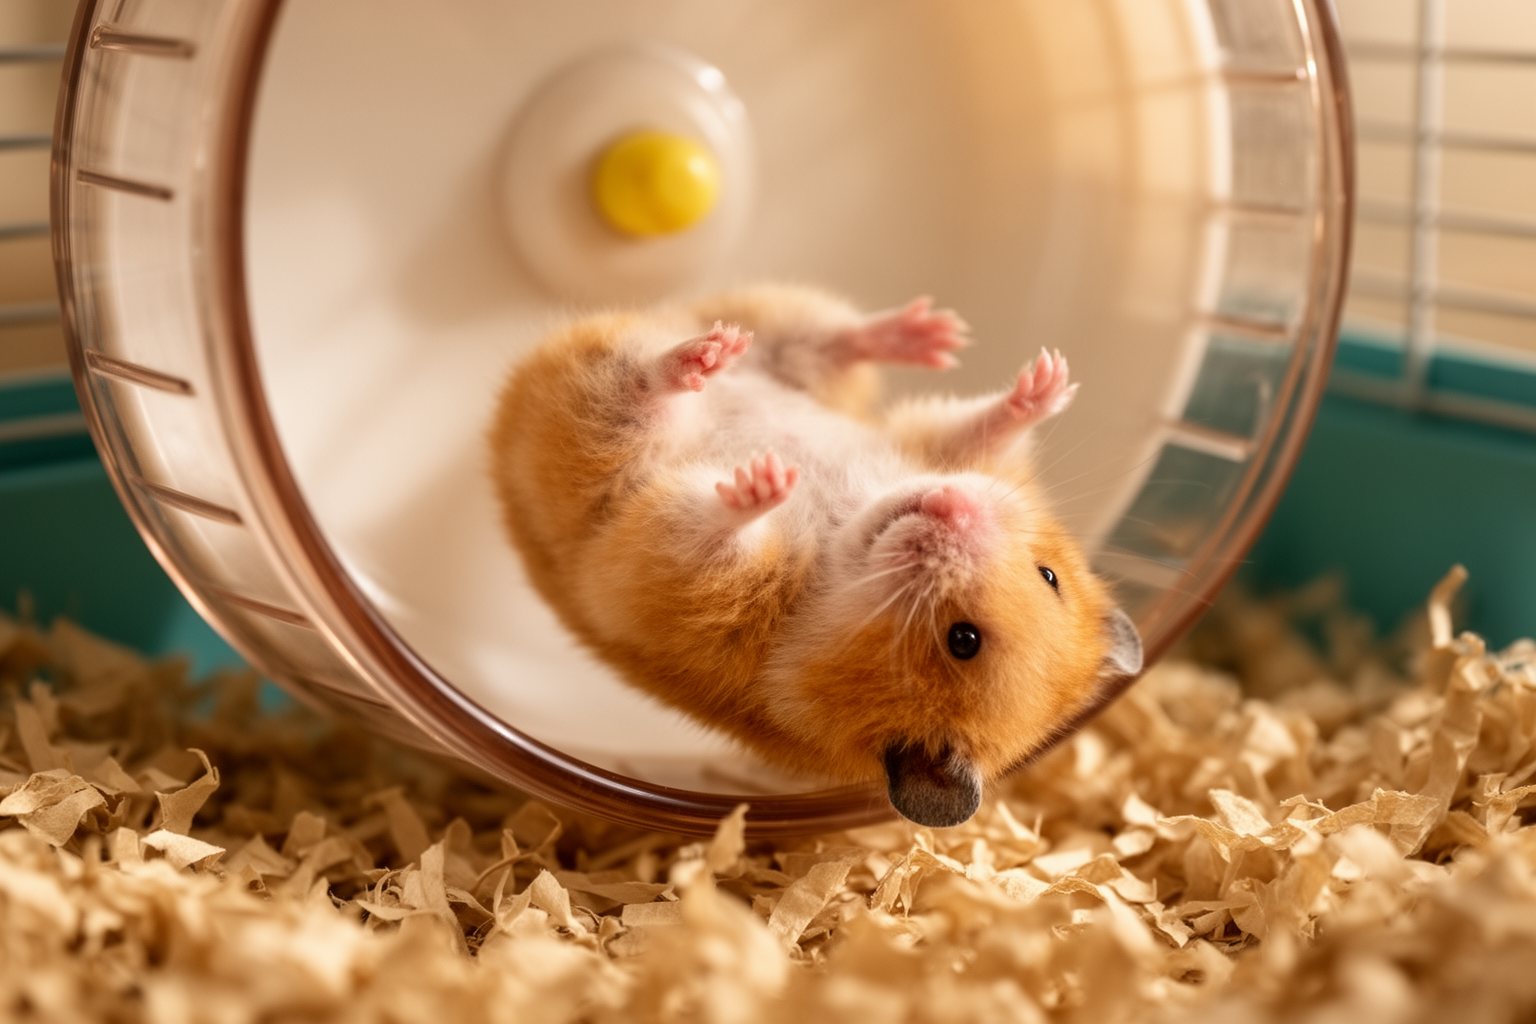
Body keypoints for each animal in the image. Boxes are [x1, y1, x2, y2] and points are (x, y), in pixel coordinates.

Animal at [488, 284, 1142, 828]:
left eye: (963, 640)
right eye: (1049, 573)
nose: (953, 507)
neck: (844, 543)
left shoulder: (695, 590)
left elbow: (711, 537)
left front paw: (762, 484)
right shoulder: (934, 451)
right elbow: (979, 433)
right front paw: (1047, 384)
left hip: (596, 426)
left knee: (645, 394)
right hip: (778, 334)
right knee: (815, 341)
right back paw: (921, 333)